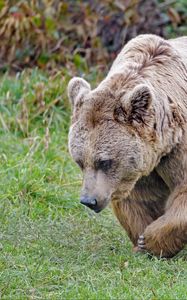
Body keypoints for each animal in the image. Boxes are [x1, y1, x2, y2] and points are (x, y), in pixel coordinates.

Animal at [67, 33, 187, 258]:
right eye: (79, 161)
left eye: (104, 161)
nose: (89, 200)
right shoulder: (139, 166)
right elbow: (141, 199)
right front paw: (141, 241)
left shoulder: (177, 149)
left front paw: (149, 241)